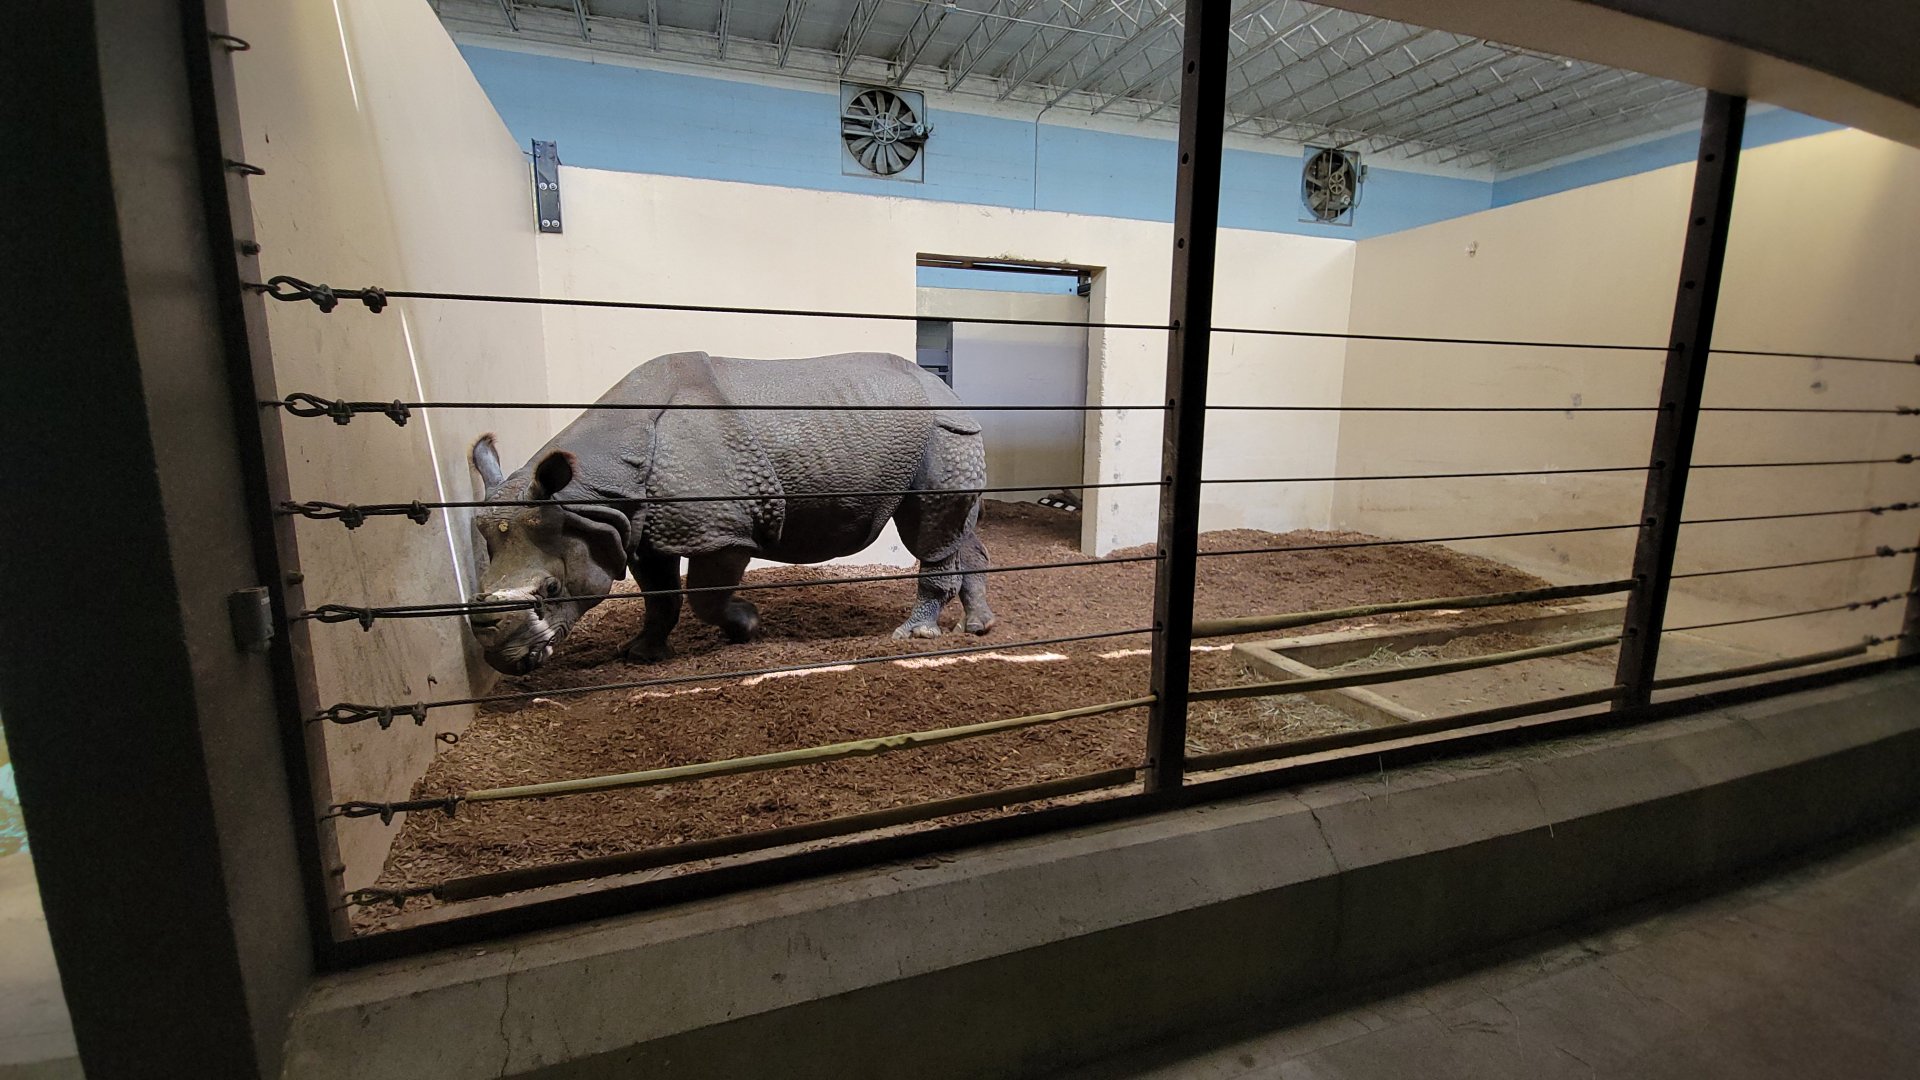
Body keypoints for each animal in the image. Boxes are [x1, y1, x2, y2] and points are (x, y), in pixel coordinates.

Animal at [466, 351, 995, 675]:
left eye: (551, 590)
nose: (503, 659)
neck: (590, 493)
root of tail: (946, 389)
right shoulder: (637, 526)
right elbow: (659, 596)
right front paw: (642, 656)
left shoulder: (721, 530)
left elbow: (705, 595)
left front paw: (748, 626)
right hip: (944, 432)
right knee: (959, 533)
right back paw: (978, 628)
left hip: (942, 431)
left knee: (929, 533)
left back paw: (913, 635)